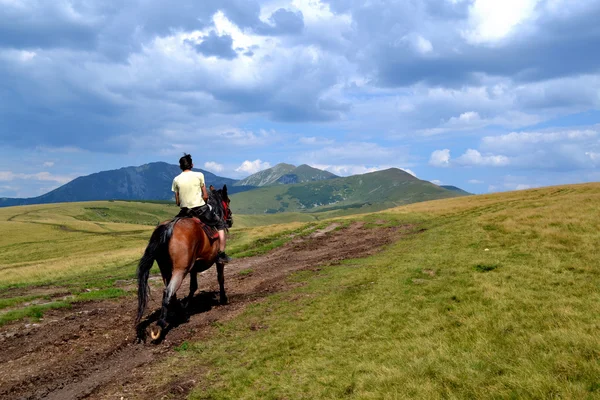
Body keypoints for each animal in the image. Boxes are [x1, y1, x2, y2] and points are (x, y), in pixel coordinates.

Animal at [136, 186, 232, 340]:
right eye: (228, 201)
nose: (230, 219)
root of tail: (169, 227)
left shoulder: (193, 267)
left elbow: (193, 286)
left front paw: (187, 304)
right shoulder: (217, 263)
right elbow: (220, 278)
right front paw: (223, 298)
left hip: (165, 268)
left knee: (170, 291)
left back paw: (178, 311)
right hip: (180, 269)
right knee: (168, 291)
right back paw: (161, 325)